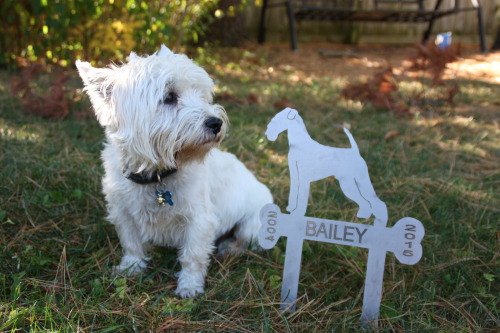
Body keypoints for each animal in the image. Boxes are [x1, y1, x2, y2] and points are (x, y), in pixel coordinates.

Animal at [77, 45, 274, 296]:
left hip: (252, 226)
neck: (156, 175)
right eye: (169, 97)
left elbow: (193, 255)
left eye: (201, 95)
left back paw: (229, 248)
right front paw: (130, 268)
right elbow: (131, 243)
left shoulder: (199, 219)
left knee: (245, 242)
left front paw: (189, 286)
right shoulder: (123, 212)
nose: (216, 123)